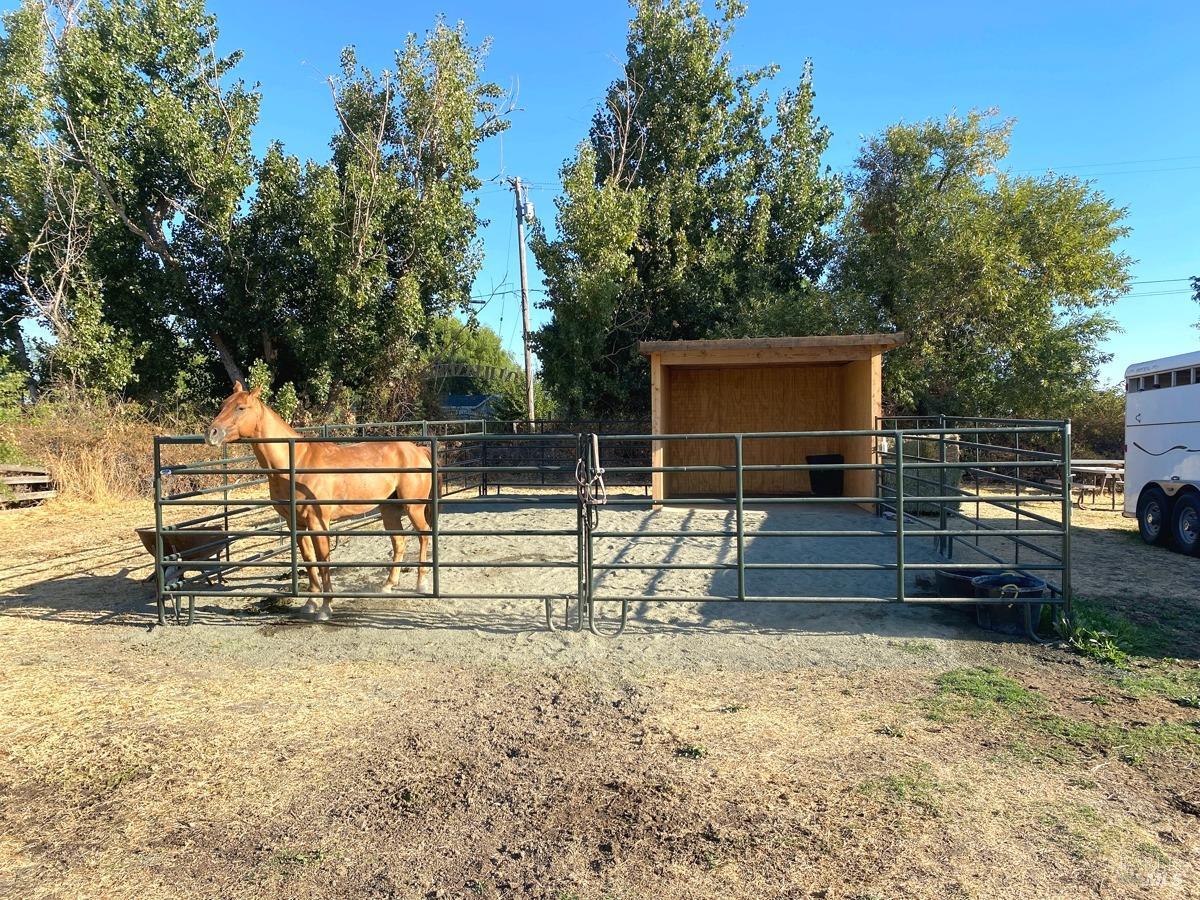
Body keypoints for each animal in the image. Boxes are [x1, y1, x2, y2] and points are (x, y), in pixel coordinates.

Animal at [204, 384, 434, 624]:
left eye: (241, 407)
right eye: (224, 404)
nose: (211, 433)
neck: (295, 463)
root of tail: (417, 450)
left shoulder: (318, 523)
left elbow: (323, 561)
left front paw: (325, 607)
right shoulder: (296, 524)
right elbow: (309, 560)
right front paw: (311, 603)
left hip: (414, 508)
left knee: (424, 535)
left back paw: (422, 584)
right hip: (389, 510)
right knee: (399, 542)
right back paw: (388, 585)